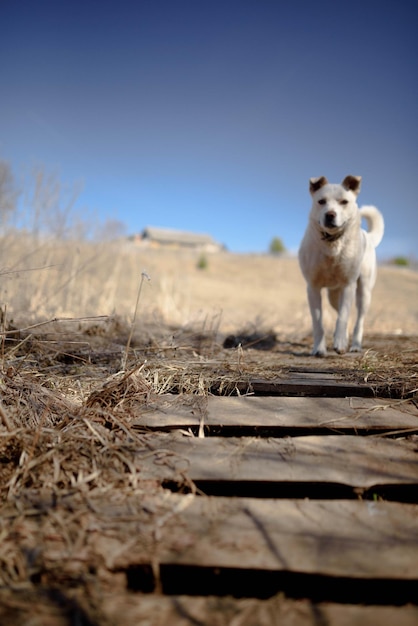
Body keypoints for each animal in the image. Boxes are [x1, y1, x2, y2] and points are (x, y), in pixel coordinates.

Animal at [298, 176, 384, 356]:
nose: (330, 214)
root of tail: (368, 236)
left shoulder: (348, 285)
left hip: (363, 292)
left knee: (358, 320)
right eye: (321, 201)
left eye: (344, 202)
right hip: (333, 296)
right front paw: (319, 348)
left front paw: (339, 342)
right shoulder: (313, 288)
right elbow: (318, 322)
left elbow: (343, 317)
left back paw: (355, 345)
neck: (332, 244)